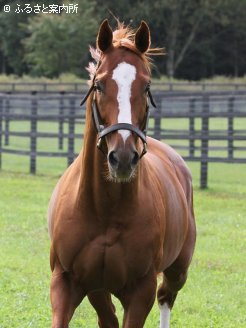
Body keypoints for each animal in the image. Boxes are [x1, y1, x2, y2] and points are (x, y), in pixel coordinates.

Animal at [48, 19, 196, 326]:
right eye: (100, 84)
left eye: (146, 85)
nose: (124, 157)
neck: (104, 210)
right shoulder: (66, 282)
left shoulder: (141, 291)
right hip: (98, 289)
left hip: (178, 269)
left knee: (167, 296)